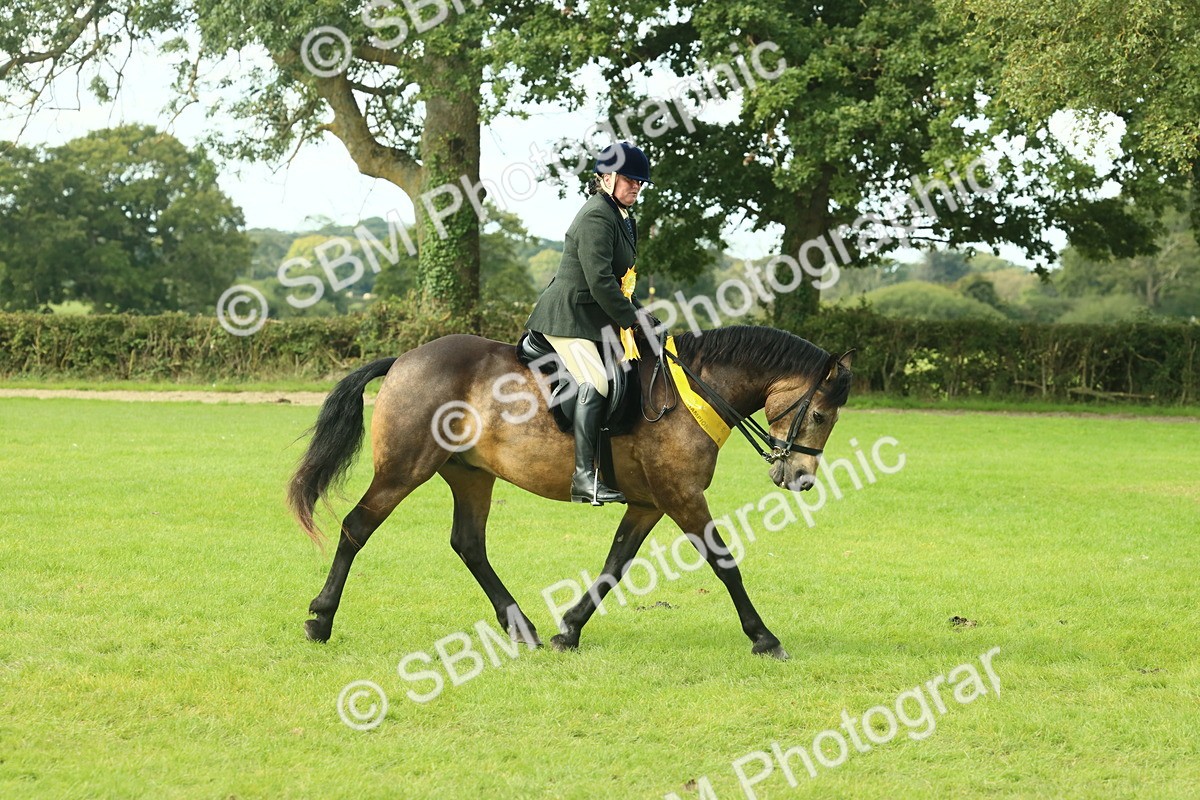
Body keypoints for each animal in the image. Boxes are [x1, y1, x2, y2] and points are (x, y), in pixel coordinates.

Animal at [289, 325, 854, 659]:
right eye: (820, 415)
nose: (801, 479)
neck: (693, 392)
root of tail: (405, 359)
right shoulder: (682, 495)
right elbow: (724, 563)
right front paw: (764, 638)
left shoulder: (650, 503)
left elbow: (615, 564)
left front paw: (570, 629)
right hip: (404, 470)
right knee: (356, 527)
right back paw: (320, 619)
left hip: (471, 475)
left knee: (468, 543)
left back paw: (521, 627)